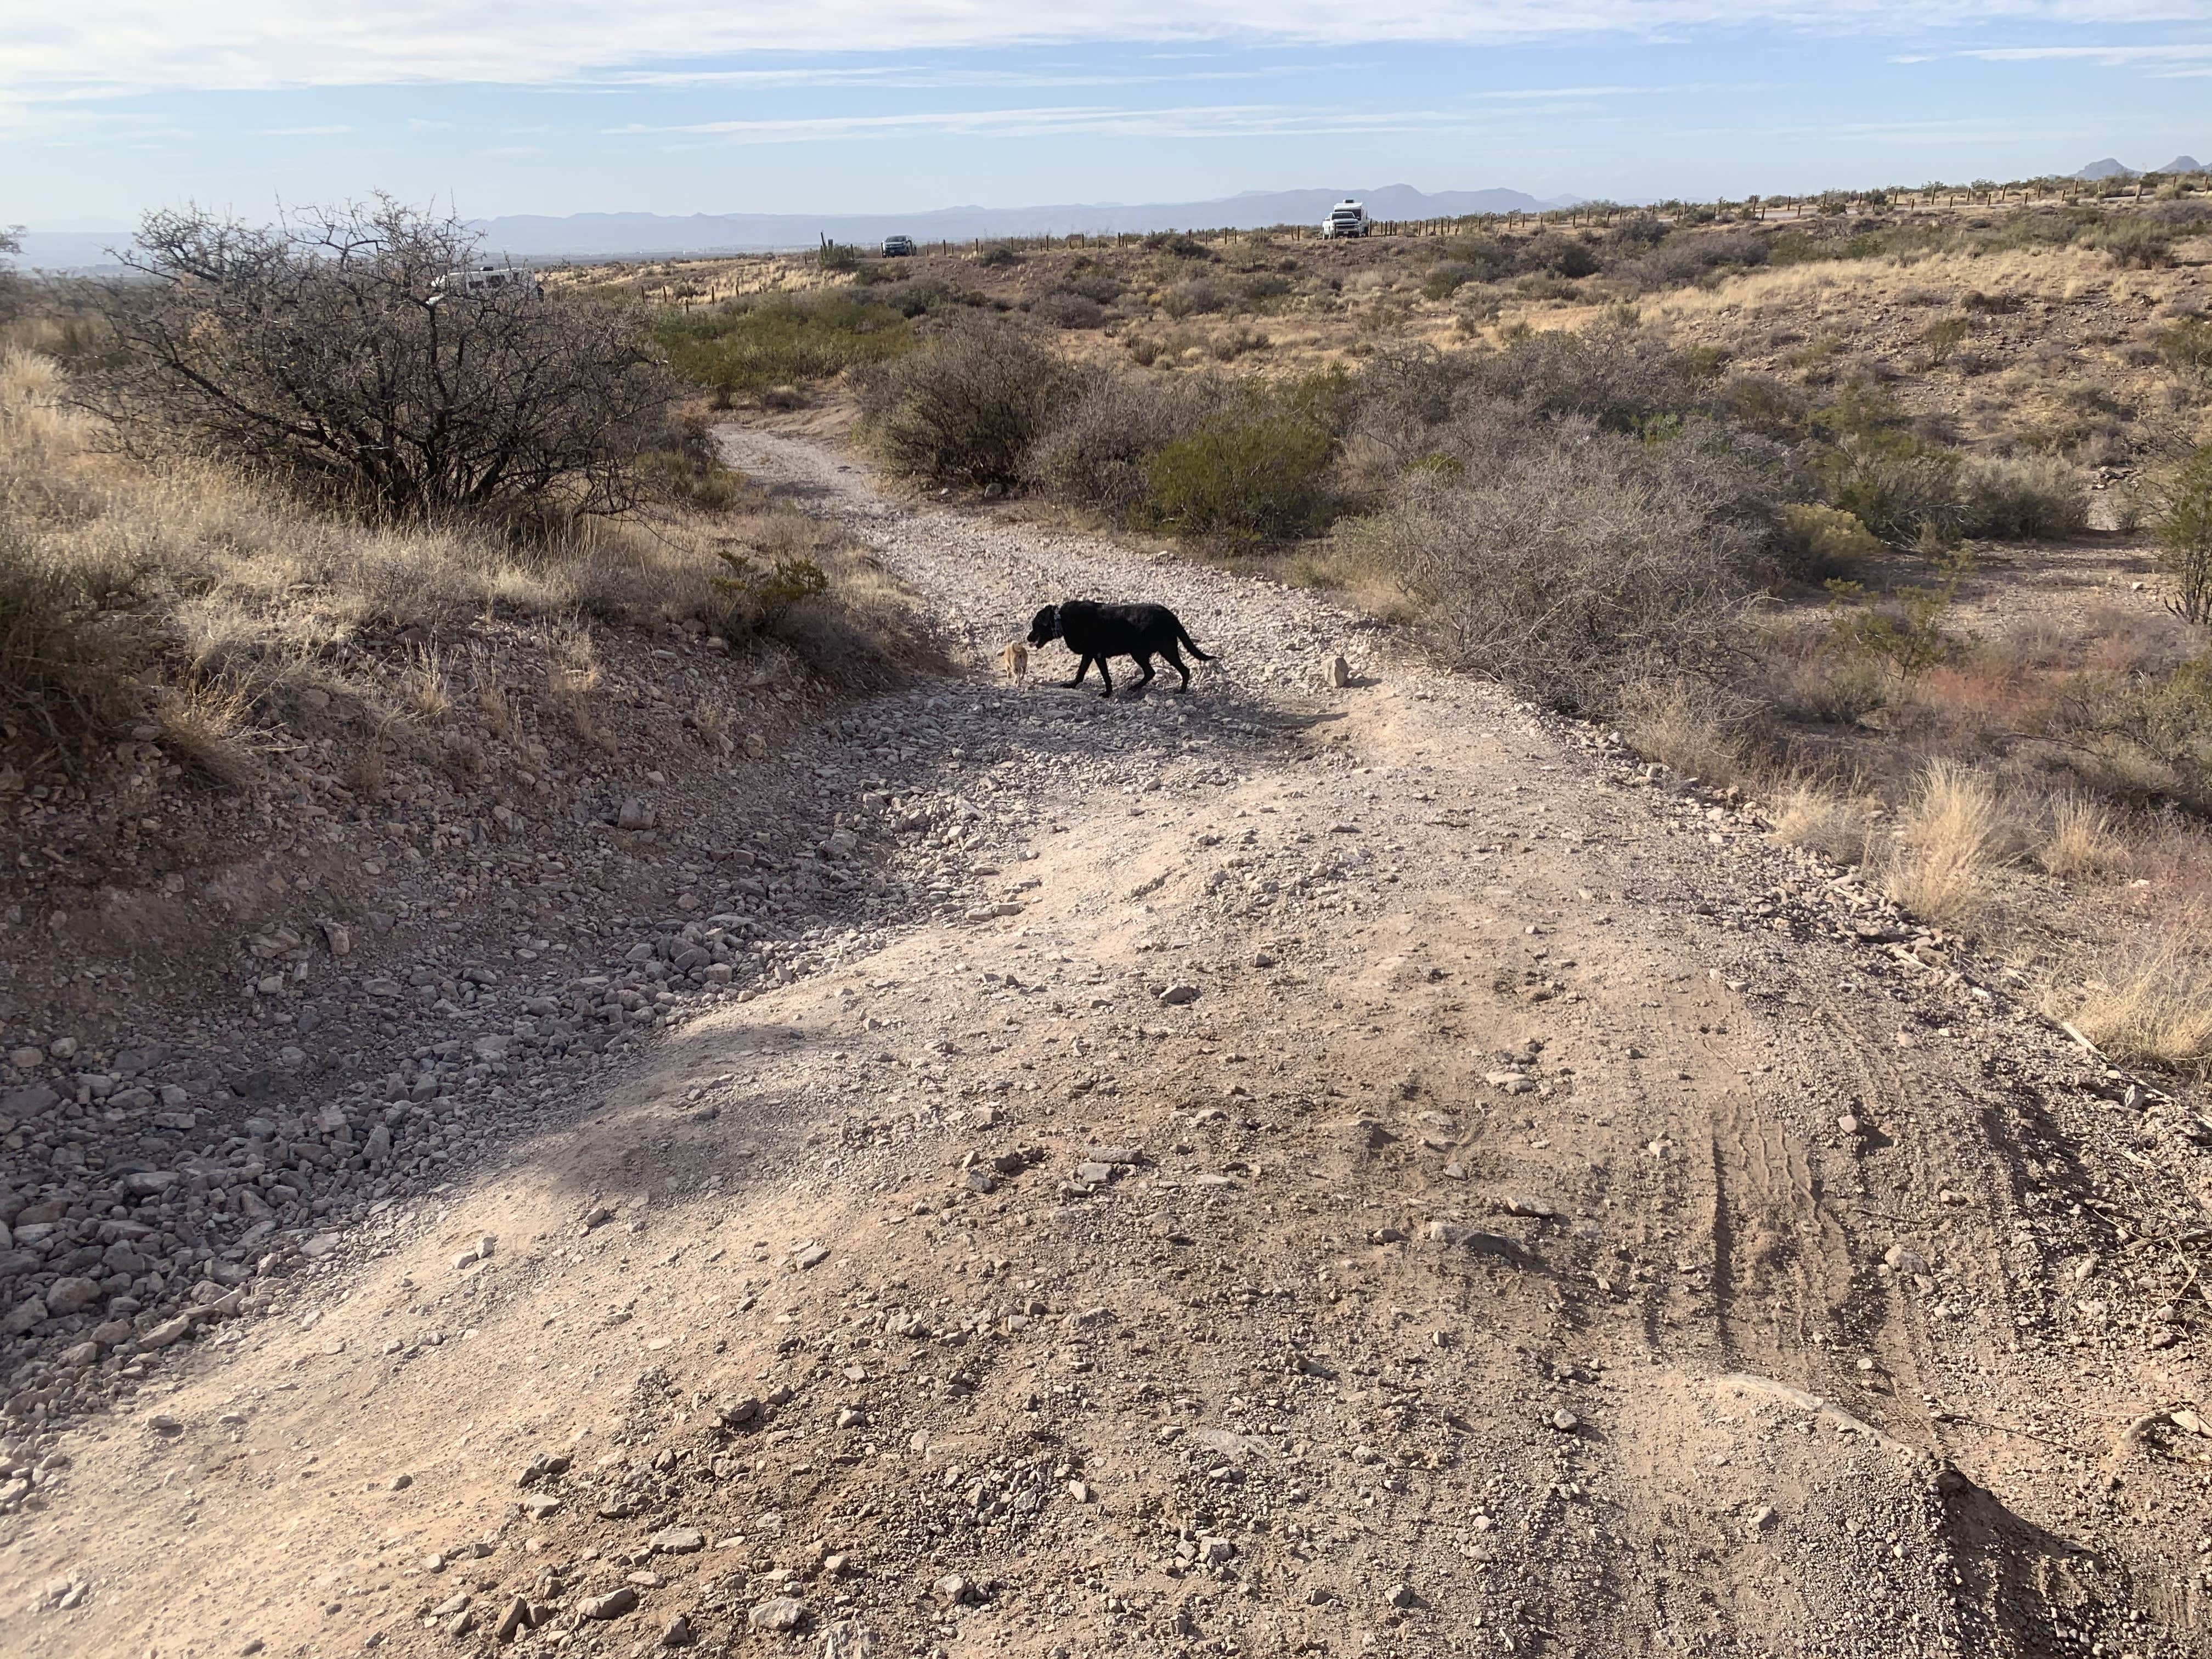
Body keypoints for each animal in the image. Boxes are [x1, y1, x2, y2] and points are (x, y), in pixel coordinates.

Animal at [1026, 601, 1221, 699]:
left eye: (1035, 625)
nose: (1028, 638)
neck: (1061, 620)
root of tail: (1171, 616)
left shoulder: (1096, 654)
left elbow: (1104, 676)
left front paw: (1107, 693)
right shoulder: (1091, 655)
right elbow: (1081, 673)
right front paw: (1073, 685)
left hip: (1156, 650)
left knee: (1180, 670)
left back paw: (1179, 691)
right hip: (1146, 651)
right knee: (1152, 672)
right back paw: (1135, 688)